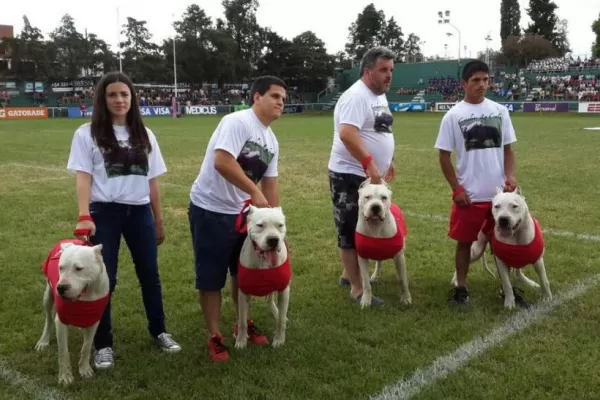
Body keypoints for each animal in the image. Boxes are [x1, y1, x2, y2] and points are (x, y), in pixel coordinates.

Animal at [34, 239, 109, 386]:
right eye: (61, 267)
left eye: (79, 268)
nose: (61, 288)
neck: (87, 294)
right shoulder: (61, 321)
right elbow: (63, 352)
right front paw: (65, 376)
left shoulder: (94, 320)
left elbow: (86, 347)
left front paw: (84, 369)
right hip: (48, 296)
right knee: (49, 319)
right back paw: (44, 340)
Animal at [234, 206, 290, 350]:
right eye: (260, 225)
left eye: (280, 225)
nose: (273, 240)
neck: (263, 260)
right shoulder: (243, 293)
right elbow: (242, 321)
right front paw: (241, 341)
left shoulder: (284, 290)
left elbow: (281, 321)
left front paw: (279, 339)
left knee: (272, 302)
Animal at [354, 179, 410, 310]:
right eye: (367, 197)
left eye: (383, 197)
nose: (376, 207)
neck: (376, 227)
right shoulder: (362, 258)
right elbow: (365, 283)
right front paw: (366, 300)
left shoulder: (399, 256)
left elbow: (403, 280)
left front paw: (406, 298)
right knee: (379, 262)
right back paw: (375, 275)